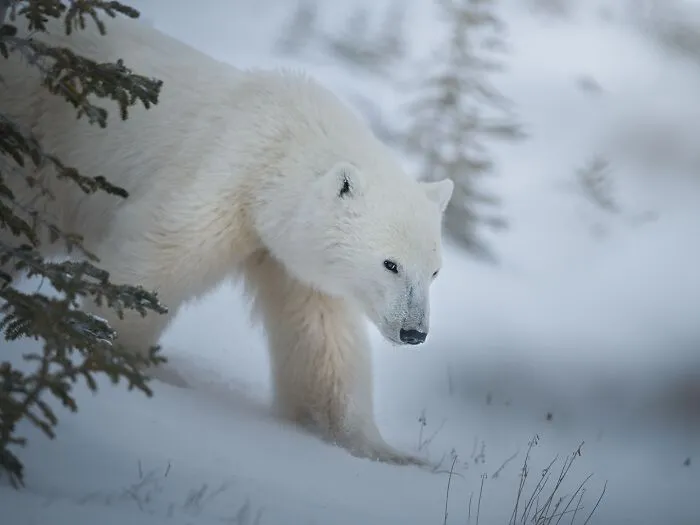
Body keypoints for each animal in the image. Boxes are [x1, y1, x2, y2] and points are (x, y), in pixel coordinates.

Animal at [0, 15, 454, 465]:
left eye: (434, 272)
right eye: (390, 264)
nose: (414, 332)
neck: (284, 148)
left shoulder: (294, 256)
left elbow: (322, 339)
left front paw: (393, 454)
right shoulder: (226, 177)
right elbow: (158, 258)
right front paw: (118, 354)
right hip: (39, 134)